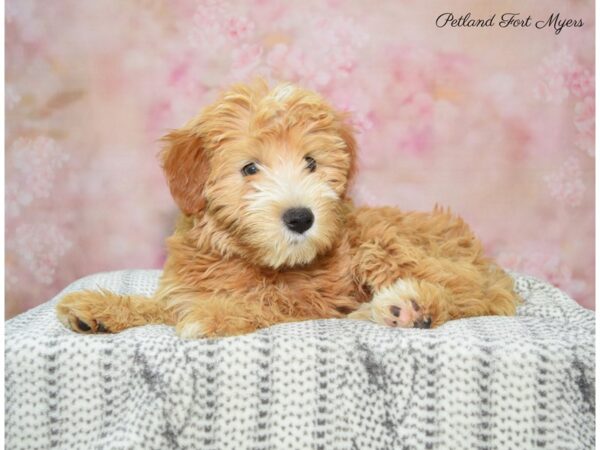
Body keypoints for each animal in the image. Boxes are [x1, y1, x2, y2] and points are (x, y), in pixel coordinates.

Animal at [54, 79, 516, 338]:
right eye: (249, 168)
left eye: (311, 162)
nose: (301, 217)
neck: (246, 259)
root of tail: (483, 258)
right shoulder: (187, 284)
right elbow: (165, 304)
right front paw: (100, 309)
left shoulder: (316, 297)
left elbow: (267, 302)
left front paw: (216, 314)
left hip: (386, 244)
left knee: (470, 295)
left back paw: (410, 306)